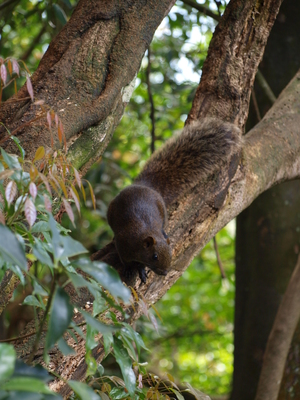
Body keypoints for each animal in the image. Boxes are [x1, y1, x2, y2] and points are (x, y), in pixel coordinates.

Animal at [108, 117, 241, 282]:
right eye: (154, 256)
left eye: (170, 253)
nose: (164, 272)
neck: (141, 238)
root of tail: (146, 186)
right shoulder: (124, 243)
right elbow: (125, 260)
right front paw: (129, 269)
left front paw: (141, 269)